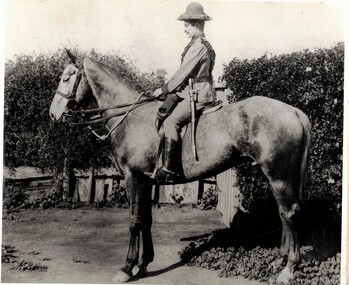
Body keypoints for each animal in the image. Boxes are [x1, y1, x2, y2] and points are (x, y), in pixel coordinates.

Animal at [48, 51, 310, 284]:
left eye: (67, 77)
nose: (53, 114)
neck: (131, 116)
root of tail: (295, 111)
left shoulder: (134, 179)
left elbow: (134, 220)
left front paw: (127, 267)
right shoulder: (146, 181)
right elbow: (146, 220)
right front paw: (144, 263)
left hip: (279, 177)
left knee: (289, 213)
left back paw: (288, 269)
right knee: (283, 214)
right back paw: (280, 260)